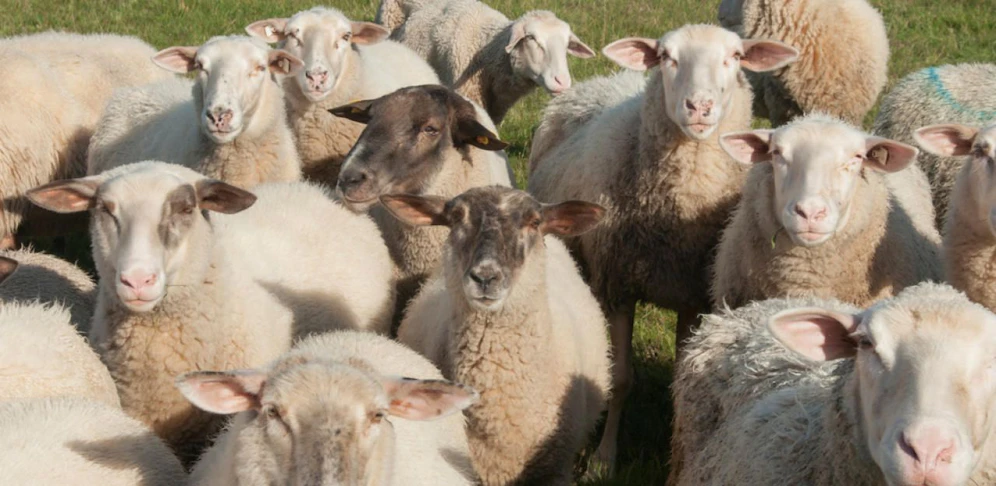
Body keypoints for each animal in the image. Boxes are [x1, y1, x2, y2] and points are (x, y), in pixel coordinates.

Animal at [527, 25, 799, 470]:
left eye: (736, 57)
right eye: (666, 57)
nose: (699, 106)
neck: (677, 210)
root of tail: (607, 79)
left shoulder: (692, 295)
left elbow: (678, 374)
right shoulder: (618, 286)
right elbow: (620, 378)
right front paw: (604, 456)